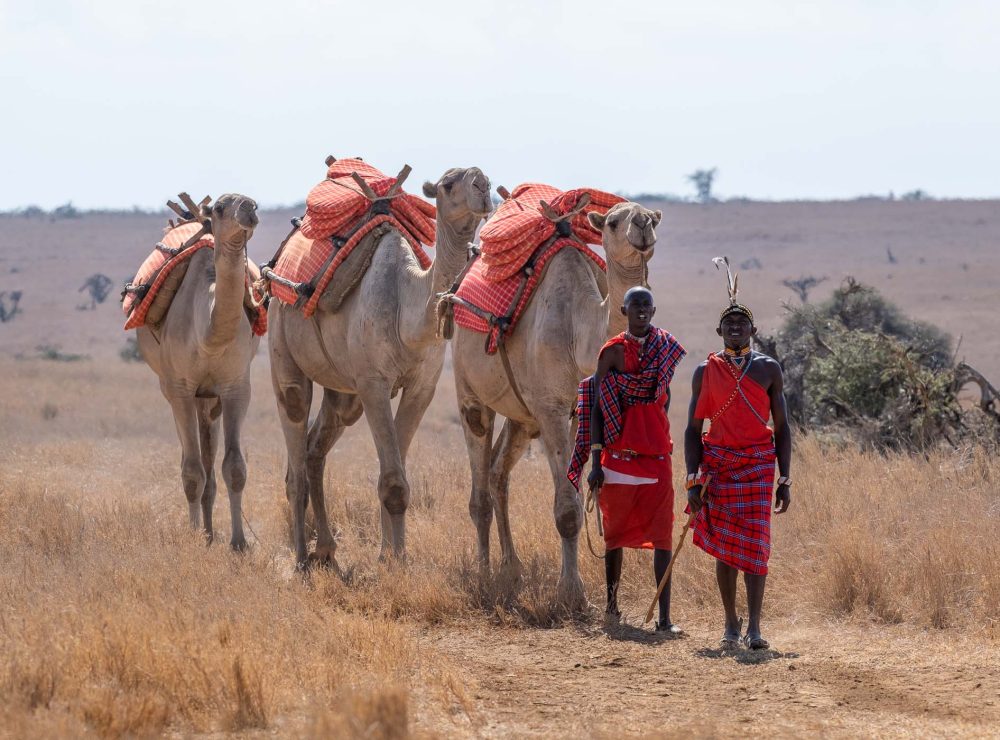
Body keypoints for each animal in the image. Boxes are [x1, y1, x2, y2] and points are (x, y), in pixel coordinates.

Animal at [137, 194, 261, 549]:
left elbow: (234, 467)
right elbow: (191, 472)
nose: (249, 209)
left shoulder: (236, 387)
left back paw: (209, 531)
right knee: (192, 460)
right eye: (219, 207)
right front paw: (193, 540)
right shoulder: (180, 387)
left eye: (254, 204)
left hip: (209, 399)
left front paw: (238, 543)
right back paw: (202, 533)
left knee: (209, 456)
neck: (208, 335)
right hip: (175, 390)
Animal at [269, 166, 492, 568]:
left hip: (343, 392)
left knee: (315, 449)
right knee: (294, 444)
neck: (407, 307)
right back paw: (301, 559)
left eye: (485, 179)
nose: (483, 187)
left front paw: (391, 554)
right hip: (284, 347)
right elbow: (393, 482)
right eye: (449, 184)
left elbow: (395, 474)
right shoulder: (373, 383)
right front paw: (395, 561)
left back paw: (326, 549)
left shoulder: (422, 387)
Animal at [450, 201, 661, 606]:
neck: (581, 337)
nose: (642, 223)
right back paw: (484, 573)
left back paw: (511, 566)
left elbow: (576, 497)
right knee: (479, 481)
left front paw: (573, 586)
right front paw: (571, 594)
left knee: (498, 472)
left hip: (522, 417)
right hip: (470, 390)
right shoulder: (550, 408)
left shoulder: (576, 409)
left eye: (652, 217)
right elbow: (566, 509)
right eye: (613, 221)